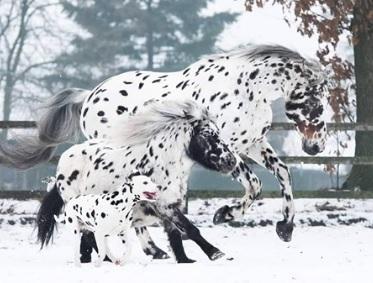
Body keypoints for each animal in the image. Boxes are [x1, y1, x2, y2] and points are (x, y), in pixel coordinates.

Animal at [0, 44, 326, 260]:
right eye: (317, 103)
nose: (316, 147)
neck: (247, 89)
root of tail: (89, 95)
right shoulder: (229, 148)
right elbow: (255, 184)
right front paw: (225, 214)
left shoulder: (252, 143)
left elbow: (283, 174)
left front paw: (285, 228)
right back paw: (150, 249)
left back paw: (153, 249)